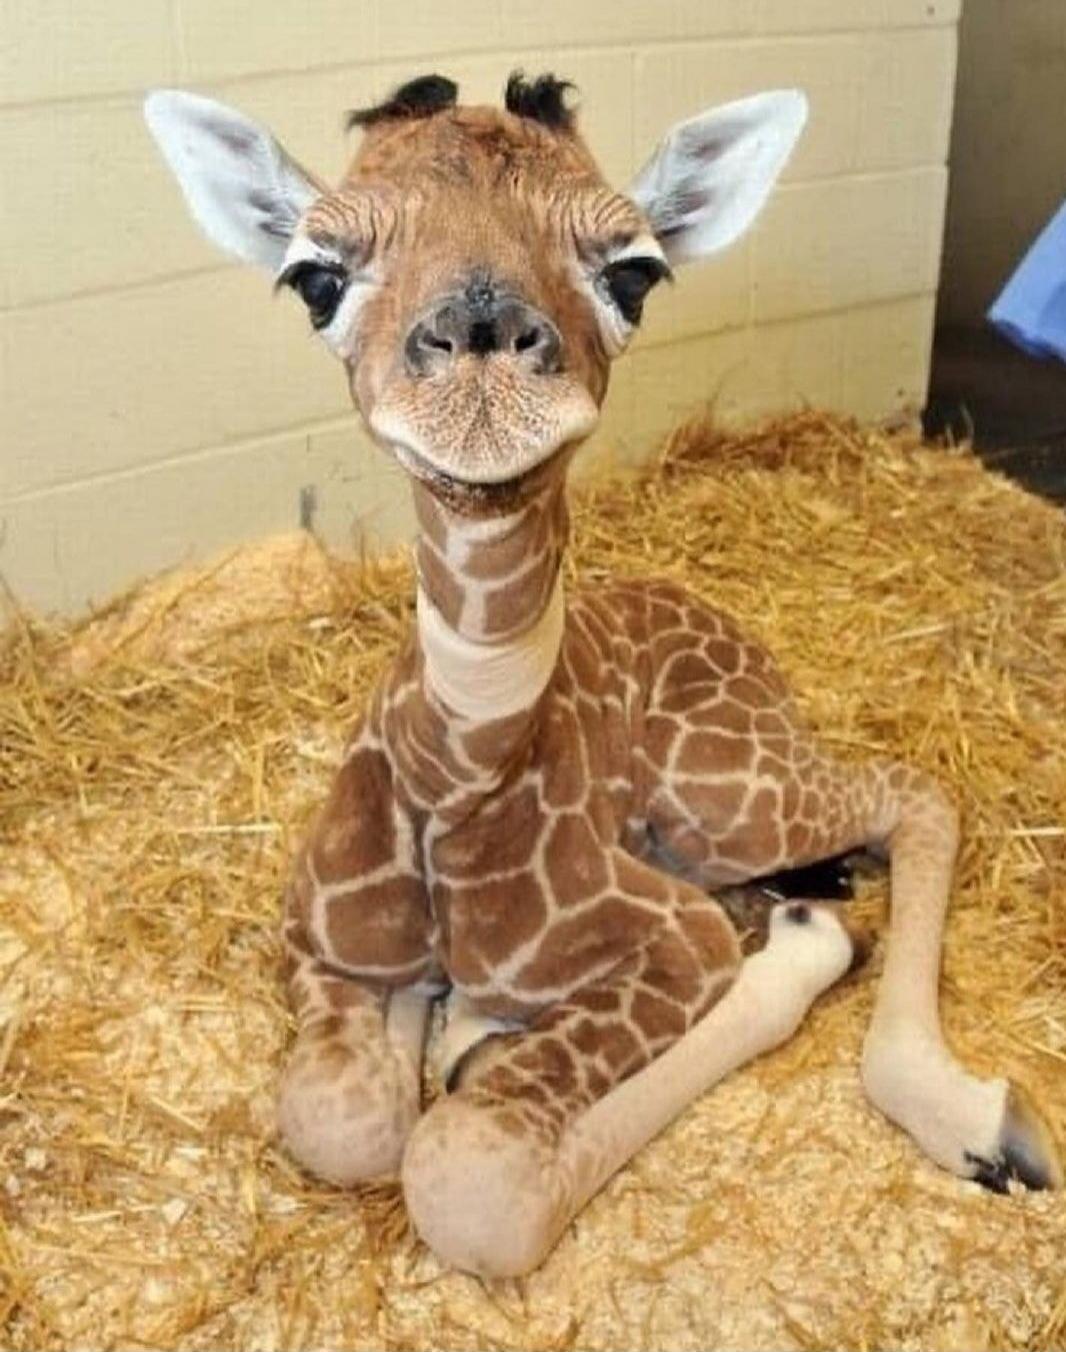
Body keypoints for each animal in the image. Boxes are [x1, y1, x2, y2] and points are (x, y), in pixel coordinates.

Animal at [145, 71, 1062, 1278]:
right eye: (315, 276)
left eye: (632, 269)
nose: (481, 353)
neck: (455, 780)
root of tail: (730, 630)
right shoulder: (314, 937)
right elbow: (346, 1115)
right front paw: (438, 1025)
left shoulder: (677, 937)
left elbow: (468, 1175)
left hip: (725, 799)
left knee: (916, 790)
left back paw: (967, 1109)